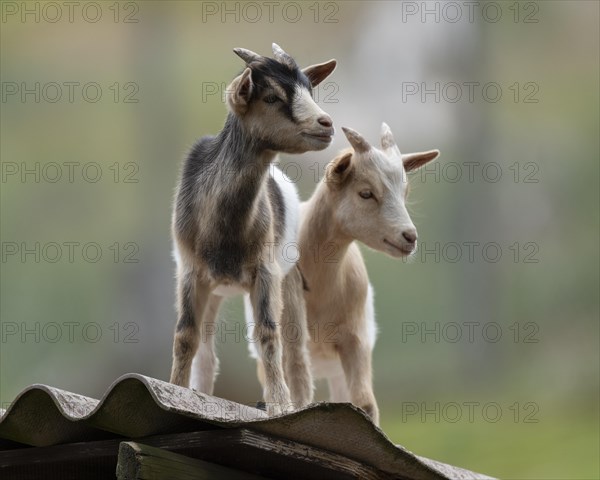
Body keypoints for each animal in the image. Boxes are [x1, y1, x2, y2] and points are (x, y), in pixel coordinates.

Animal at [170, 43, 338, 414]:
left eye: (309, 89)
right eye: (272, 97)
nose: (326, 124)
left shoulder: (266, 270)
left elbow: (267, 334)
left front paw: (279, 406)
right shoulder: (190, 270)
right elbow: (185, 336)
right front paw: (174, 389)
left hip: (289, 281)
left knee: (296, 355)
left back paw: (298, 401)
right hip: (215, 289)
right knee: (207, 352)